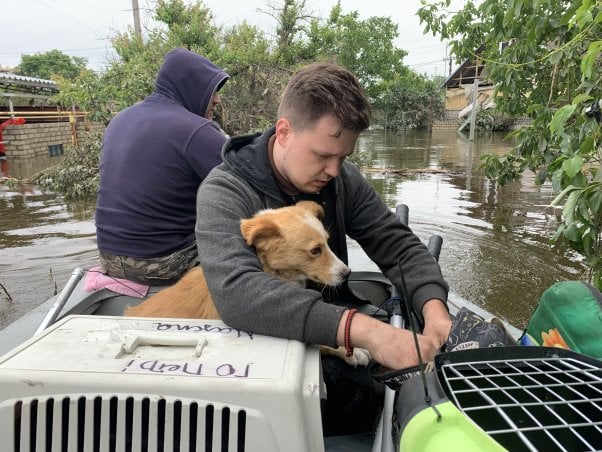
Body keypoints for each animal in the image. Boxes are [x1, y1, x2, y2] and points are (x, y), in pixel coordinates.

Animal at [124, 201, 370, 368]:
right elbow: (318, 339)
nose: (346, 273)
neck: (269, 269)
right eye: (315, 250)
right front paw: (352, 350)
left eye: (327, 243)